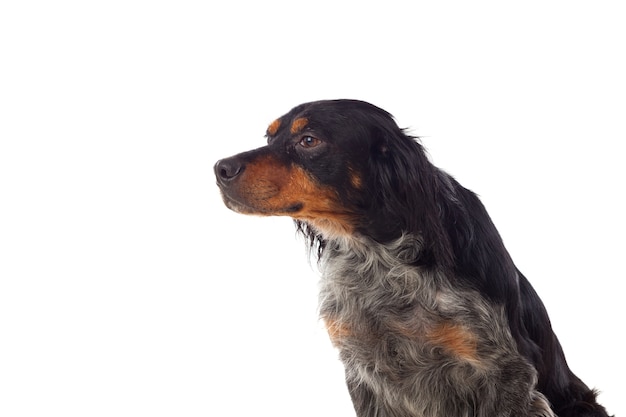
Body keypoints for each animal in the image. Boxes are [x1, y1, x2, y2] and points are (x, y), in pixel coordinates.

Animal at [212, 99, 608, 414]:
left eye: (309, 140)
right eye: (269, 138)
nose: (220, 168)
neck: (376, 254)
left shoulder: (507, 373)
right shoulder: (363, 372)